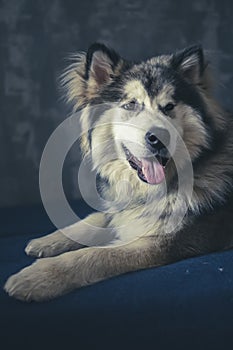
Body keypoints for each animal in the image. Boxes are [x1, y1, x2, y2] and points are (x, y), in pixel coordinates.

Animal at [3, 43, 233, 300]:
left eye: (169, 107)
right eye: (130, 104)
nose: (159, 137)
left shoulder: (165, 242)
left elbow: (96, 254)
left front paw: (37, 277)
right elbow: (96, 217)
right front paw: (48, 240)